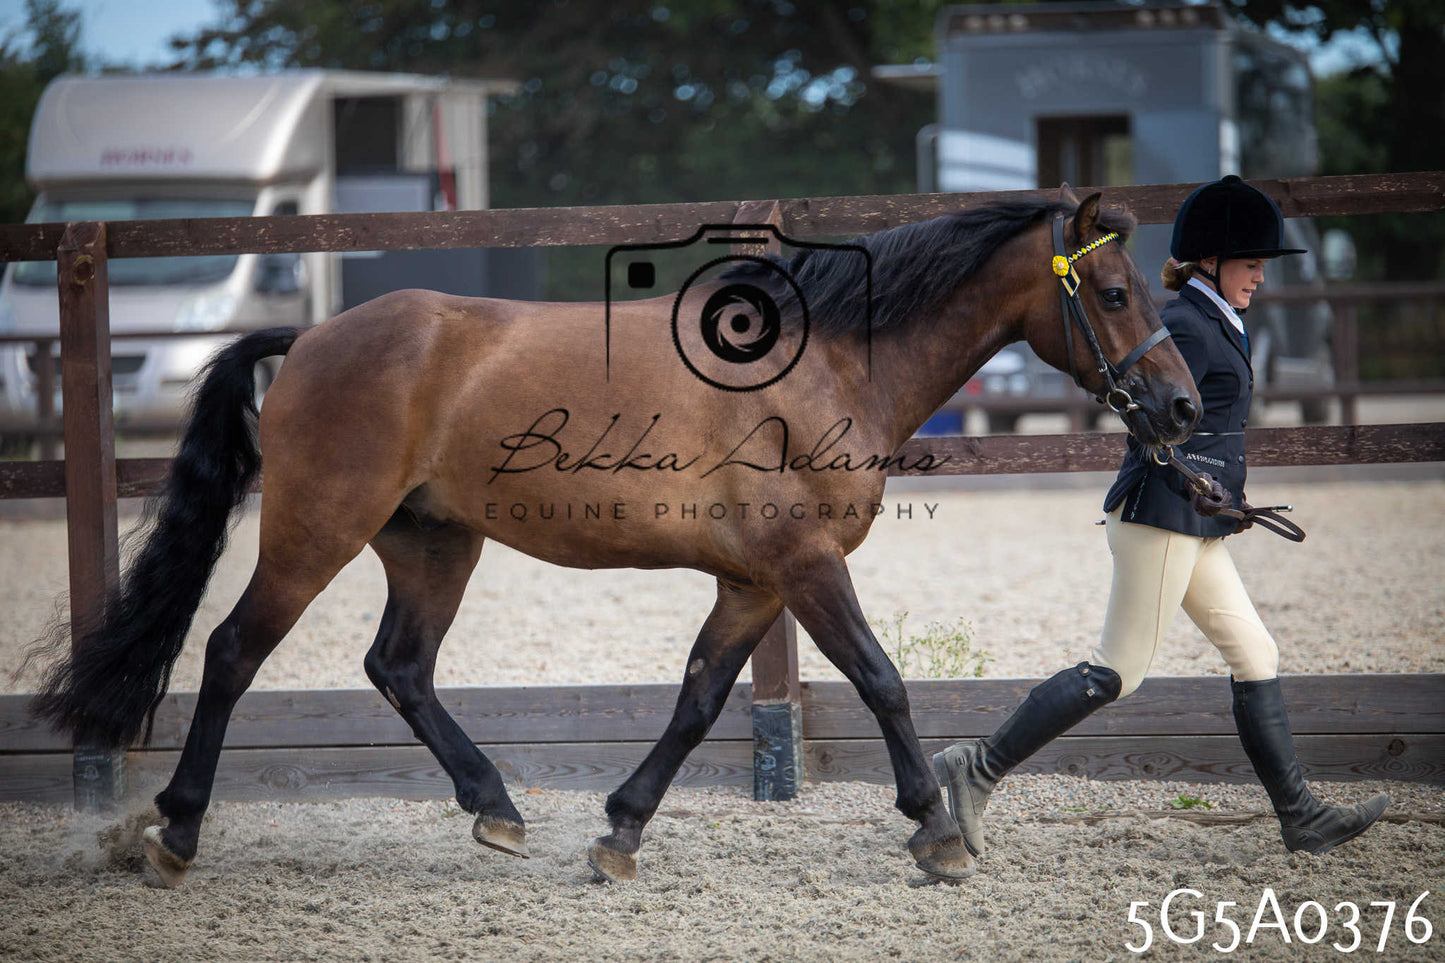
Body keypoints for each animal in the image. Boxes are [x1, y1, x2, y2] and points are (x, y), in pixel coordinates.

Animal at [29, 189, 1200, 887]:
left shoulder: (752, 583)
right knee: (233, 653)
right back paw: (176, 832)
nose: (1182, 409)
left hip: (432, 544)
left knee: (398, 666)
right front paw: (937, 829)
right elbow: (880, 680)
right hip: (315, 532)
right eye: (1111, 290)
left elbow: (696, 701)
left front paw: (619, 831)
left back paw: (497, 809)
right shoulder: (804, 565)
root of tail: (314, 335)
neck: (827, 364)